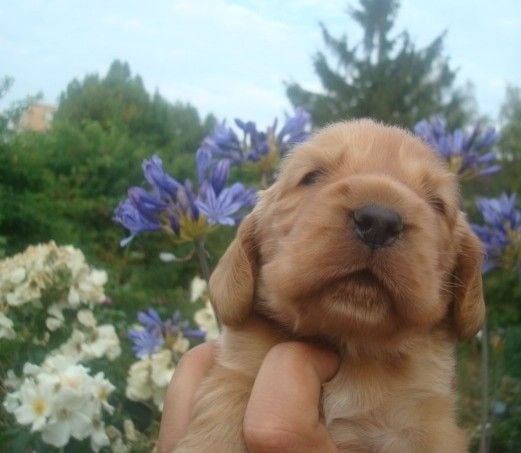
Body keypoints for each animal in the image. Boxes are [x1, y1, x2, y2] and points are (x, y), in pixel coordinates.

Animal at [174, 118, 484, 450]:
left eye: (437, 204)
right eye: (311, 176)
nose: (379, 222)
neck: (350, 349)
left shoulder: (427, 426)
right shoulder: (239, 371)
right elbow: (222, 410)